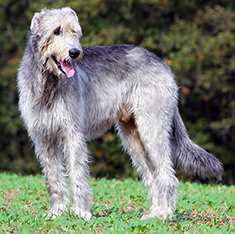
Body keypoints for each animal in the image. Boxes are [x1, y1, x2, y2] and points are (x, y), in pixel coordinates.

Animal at [17, 7, 223, 221]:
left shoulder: (72, 133)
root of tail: (163, 64)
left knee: (168, 176)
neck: (48, 84)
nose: (75, 53)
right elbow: (52, 177)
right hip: (133, 136)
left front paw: (80, 212)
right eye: (56, 31)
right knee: (152, 176)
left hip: (152, 128)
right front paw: (56, 211)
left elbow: (77, 173)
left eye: (74, 31)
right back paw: (154, 213)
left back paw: (164, 216)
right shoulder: (43, 137)